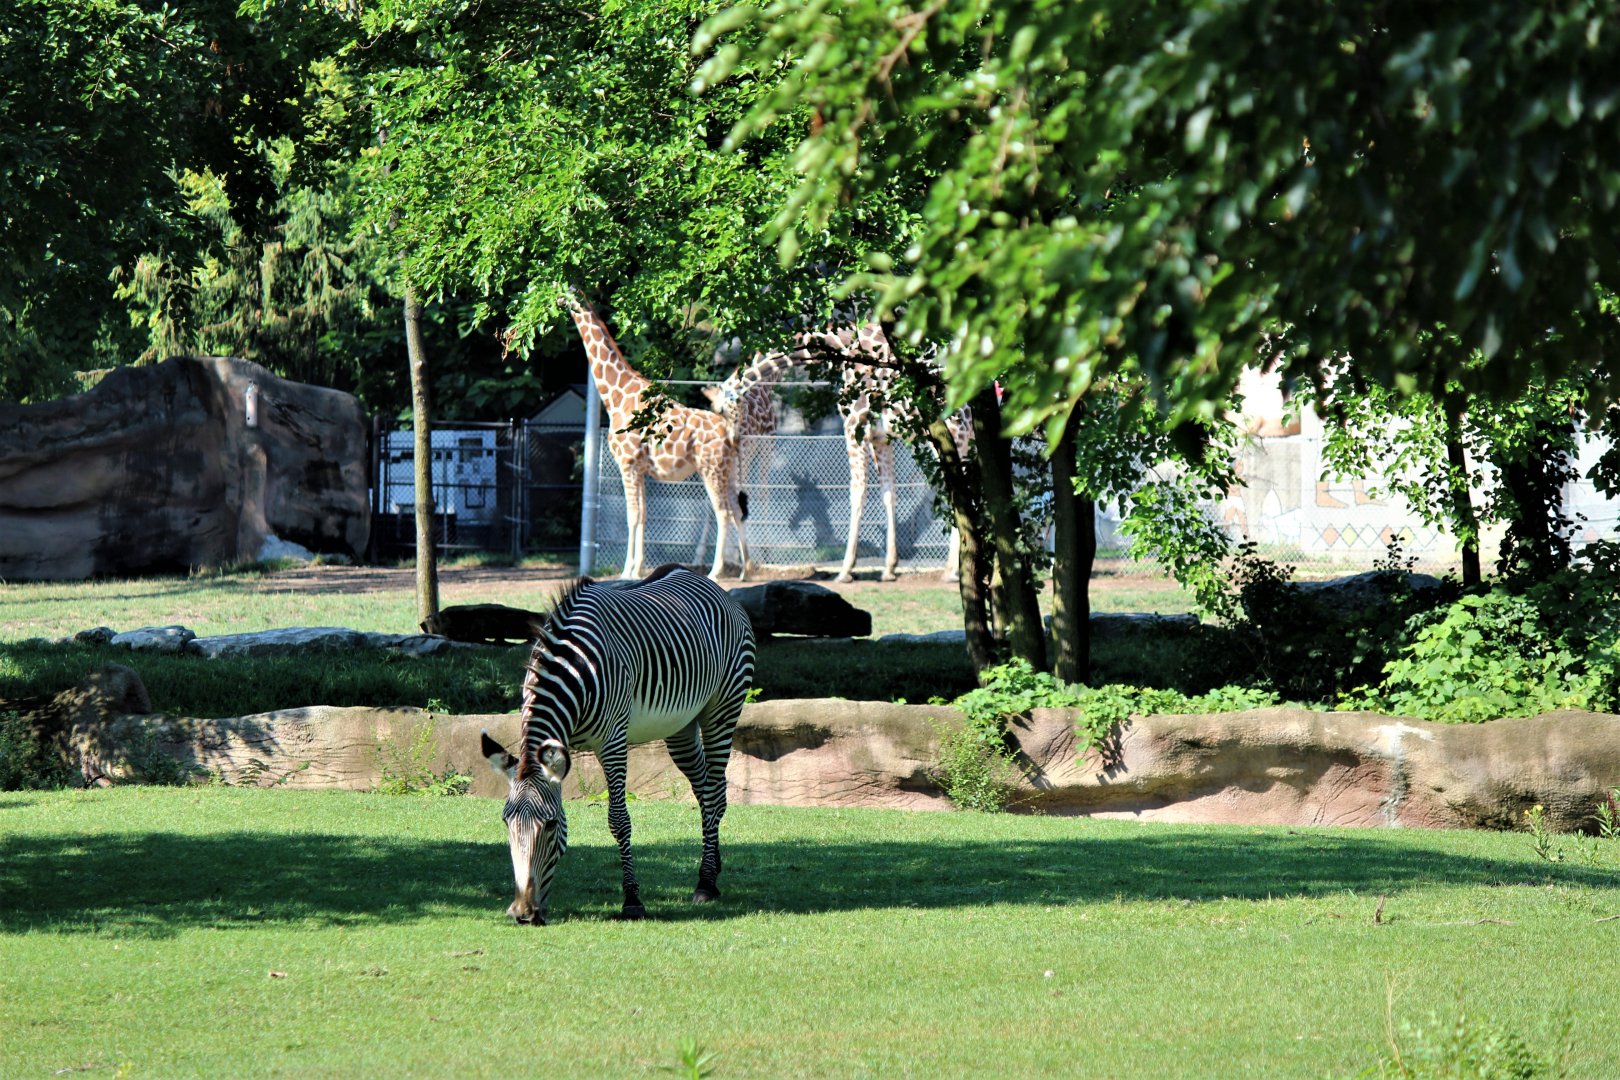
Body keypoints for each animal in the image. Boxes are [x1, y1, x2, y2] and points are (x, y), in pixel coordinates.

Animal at [480, 564, 755, 925]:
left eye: (551, 824)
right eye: (506, 822)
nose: (523, 913)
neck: (571, 669)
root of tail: (707, 583)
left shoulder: (612, 741)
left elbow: (618, 819)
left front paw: (632, 899)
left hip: (723, 707)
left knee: (712, 792)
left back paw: (706, 882)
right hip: (680, 727)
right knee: (709, 789)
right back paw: (714, 865)